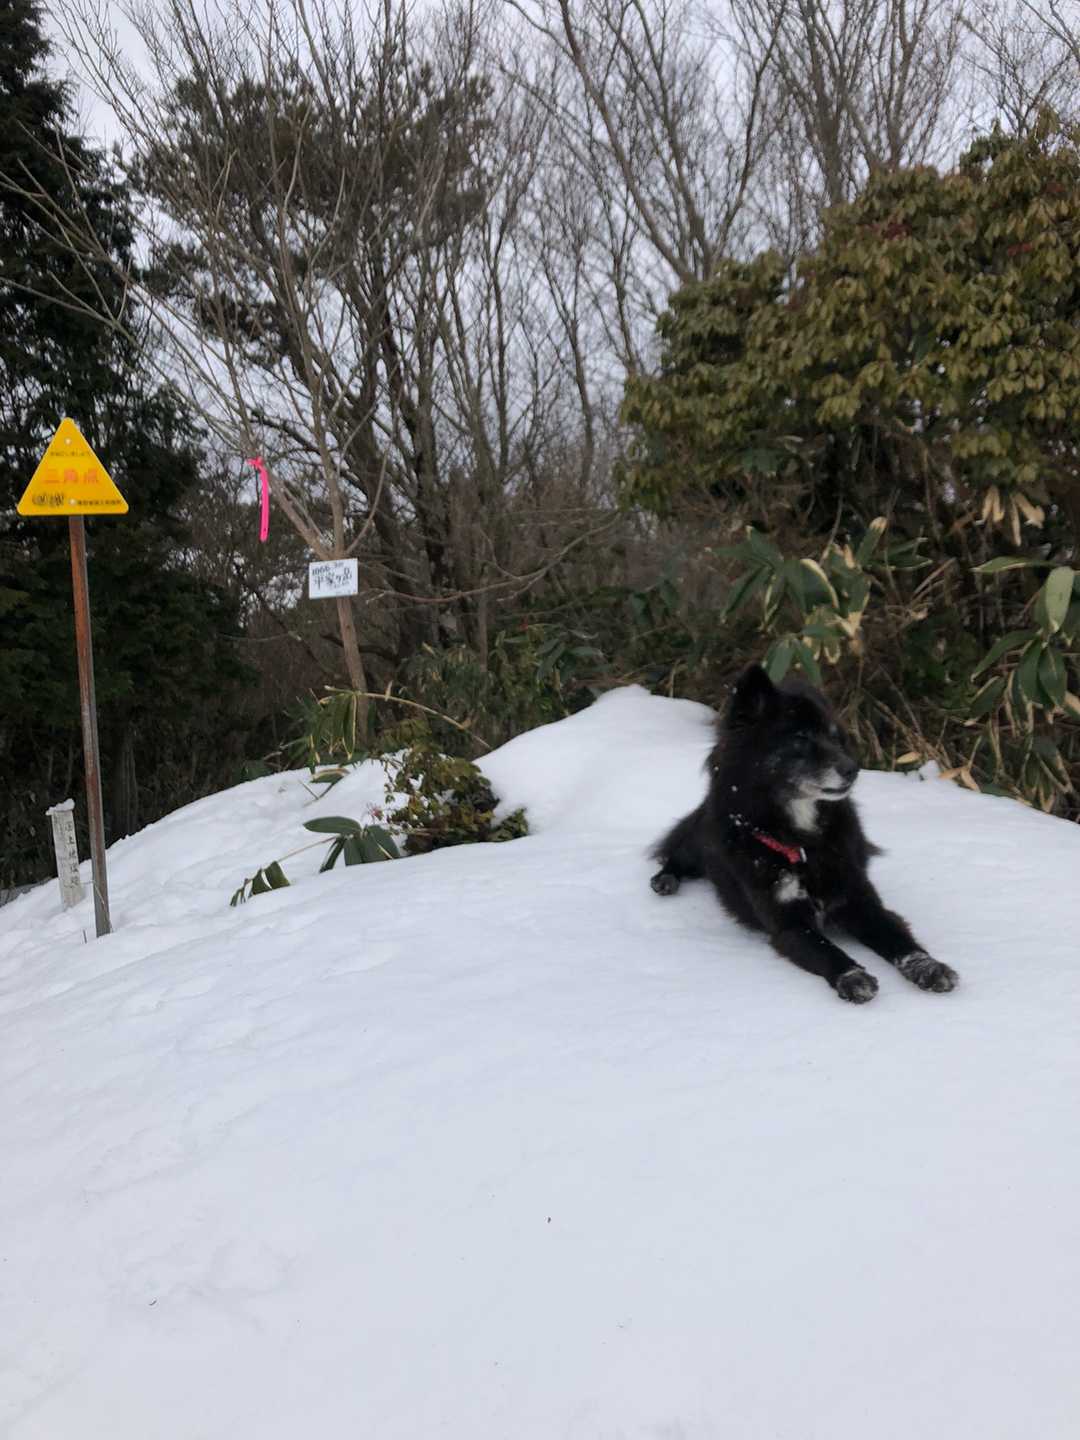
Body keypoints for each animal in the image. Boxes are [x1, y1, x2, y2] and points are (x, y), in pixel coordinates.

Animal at [650, 664, 959, 1003]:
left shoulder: (860, 900)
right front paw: (852, 977)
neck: (804, 844)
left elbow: (897, 937)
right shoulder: (789, 925)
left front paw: (928, 967)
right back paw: (665, 879)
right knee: (675, 854)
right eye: (800, 738)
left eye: (836, 738)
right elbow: (826, 950)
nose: (854, 769)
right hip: (699, 840)